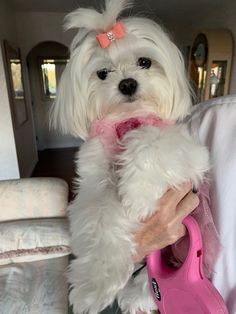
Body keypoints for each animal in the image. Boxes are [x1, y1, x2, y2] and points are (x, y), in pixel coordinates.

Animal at [50, 1, 210, 312]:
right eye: (102, 73)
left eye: (145, 62)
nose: (127, 84)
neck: (127, 120)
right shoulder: (94, 186)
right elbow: (100, 219)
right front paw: (93, 287)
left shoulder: (192, 154)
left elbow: (150, 141)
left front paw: (137, 196)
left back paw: (140, 297)